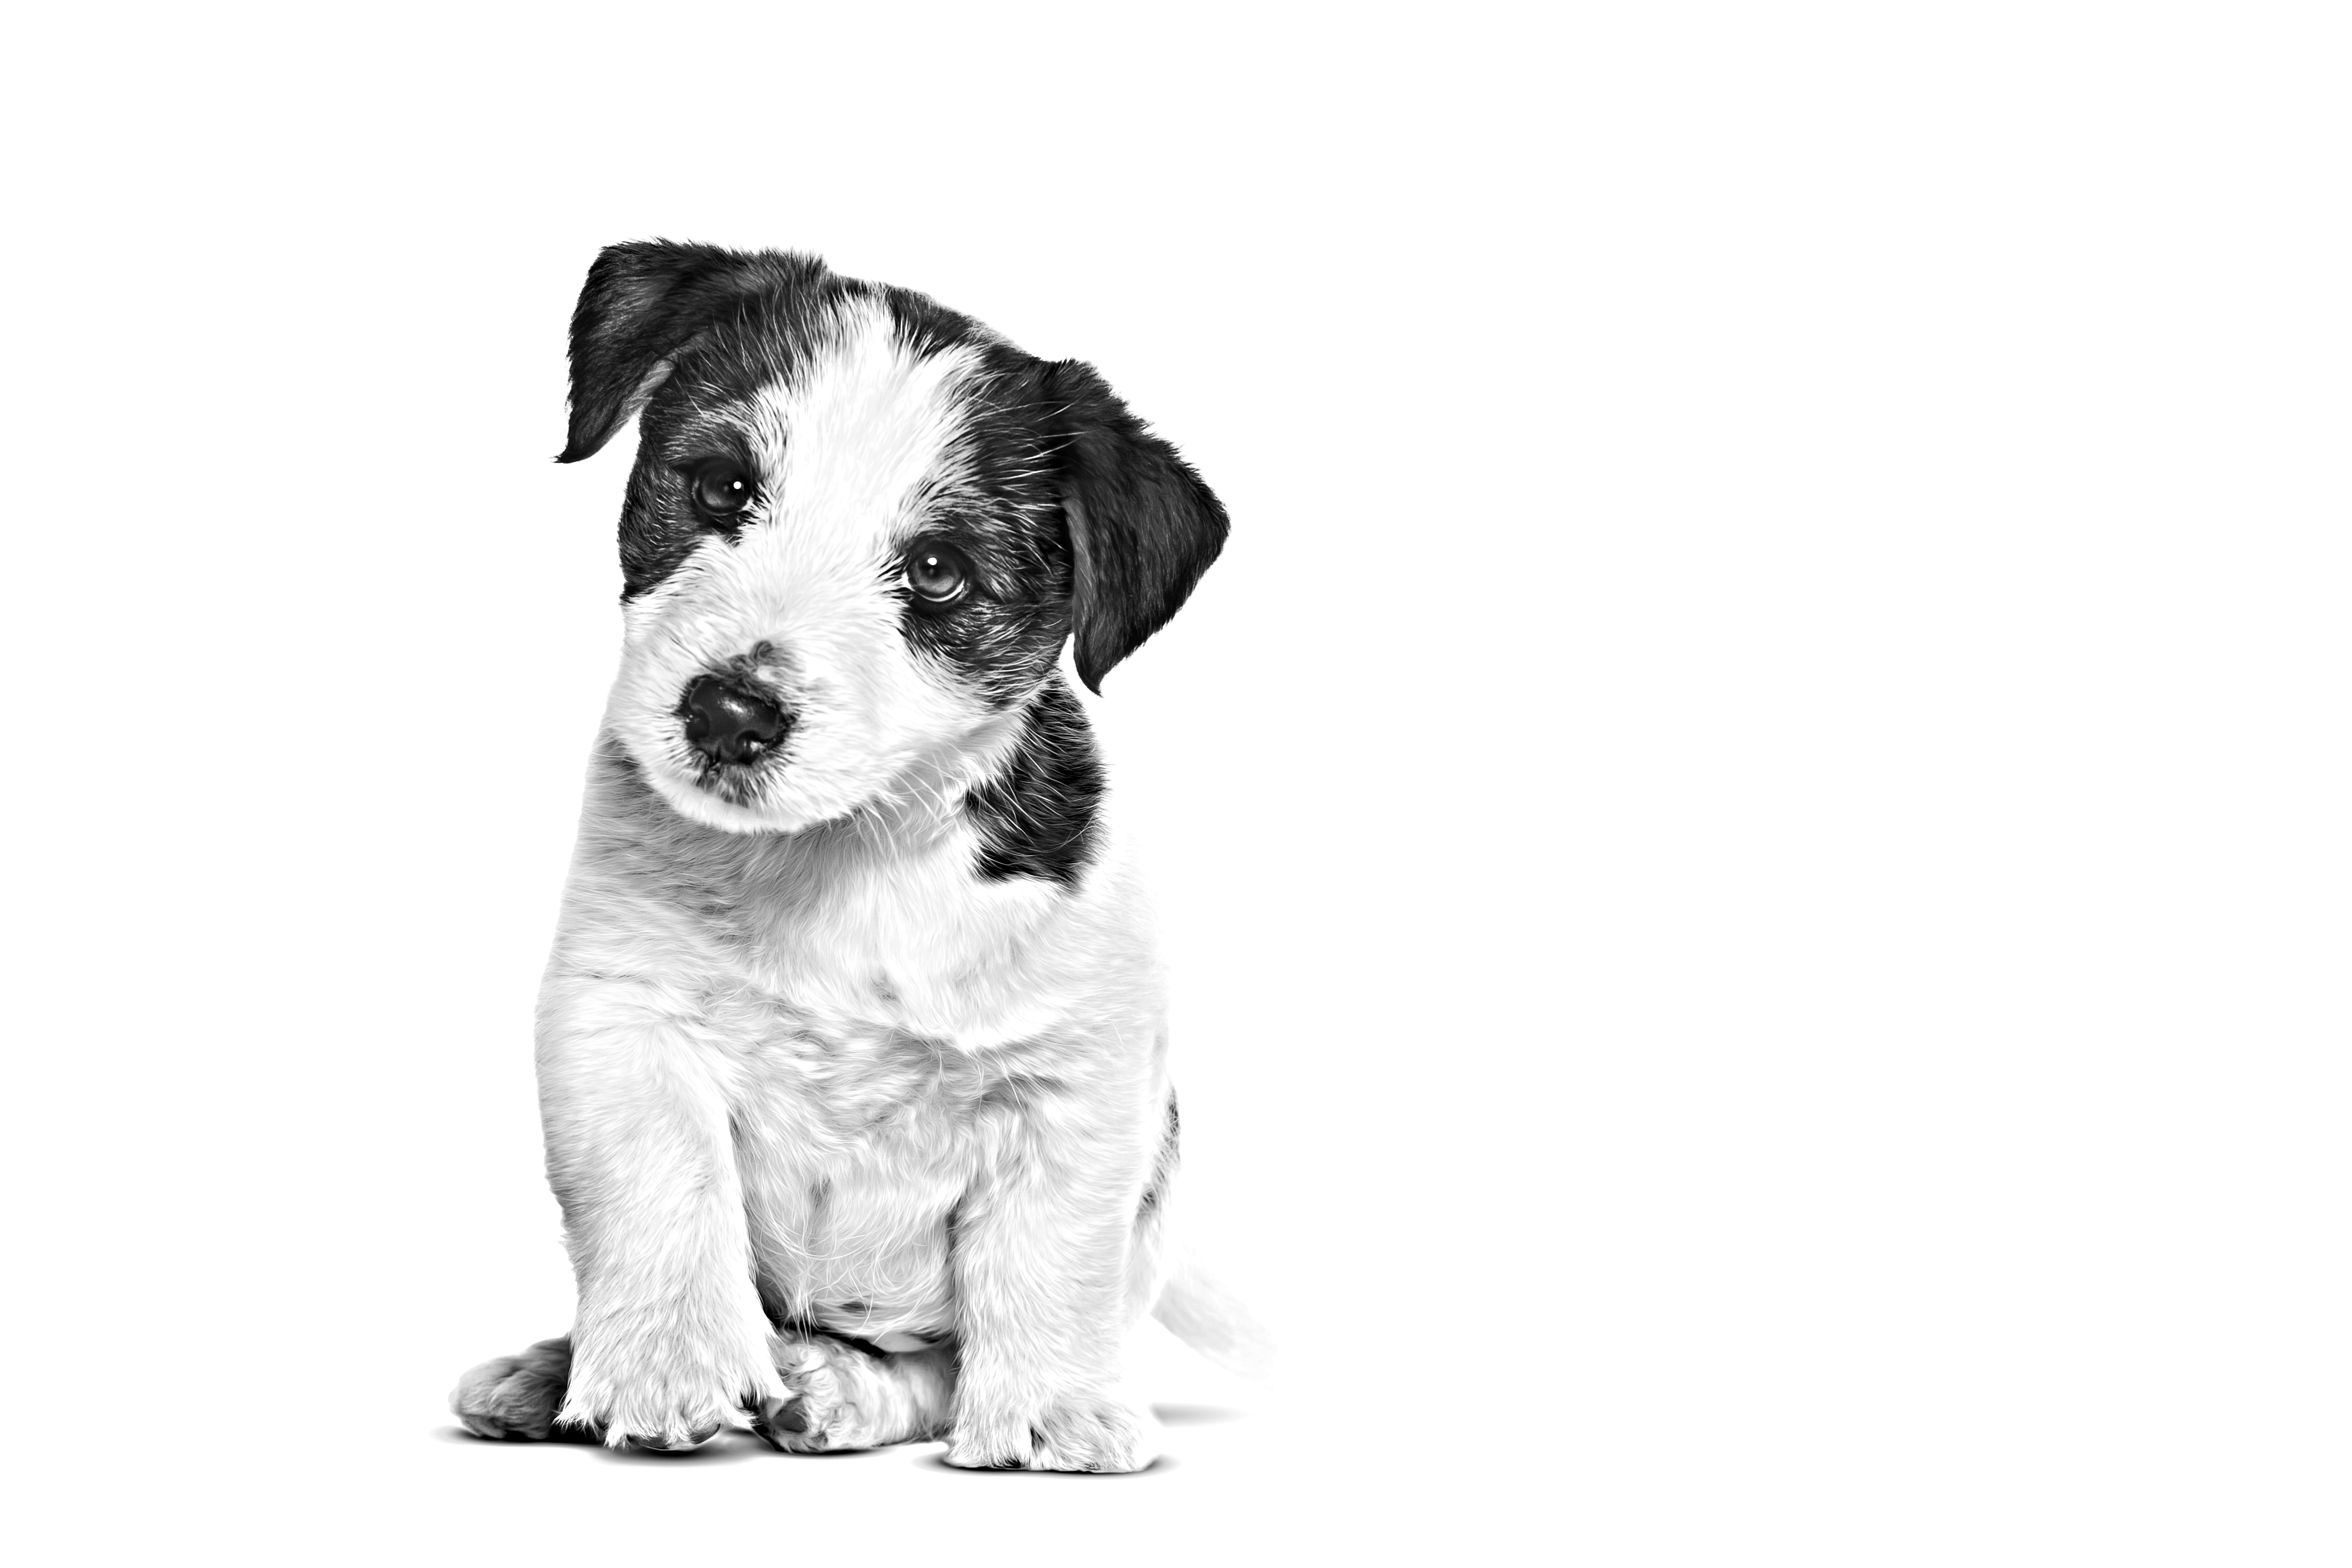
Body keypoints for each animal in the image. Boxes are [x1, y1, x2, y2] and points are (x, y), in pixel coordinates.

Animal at [451, 242, 1261, 1476]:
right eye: (724, 488)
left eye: (935, 570)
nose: (728, 712)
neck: (842, 852)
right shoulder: (619, 1015)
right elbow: (660, 1186)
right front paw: (664, 1361)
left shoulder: (1078, 1079)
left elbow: (1048, 1256)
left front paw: (1052, 1406)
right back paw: (560, 1370)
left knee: (929, 1364)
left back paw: (834, 1384)